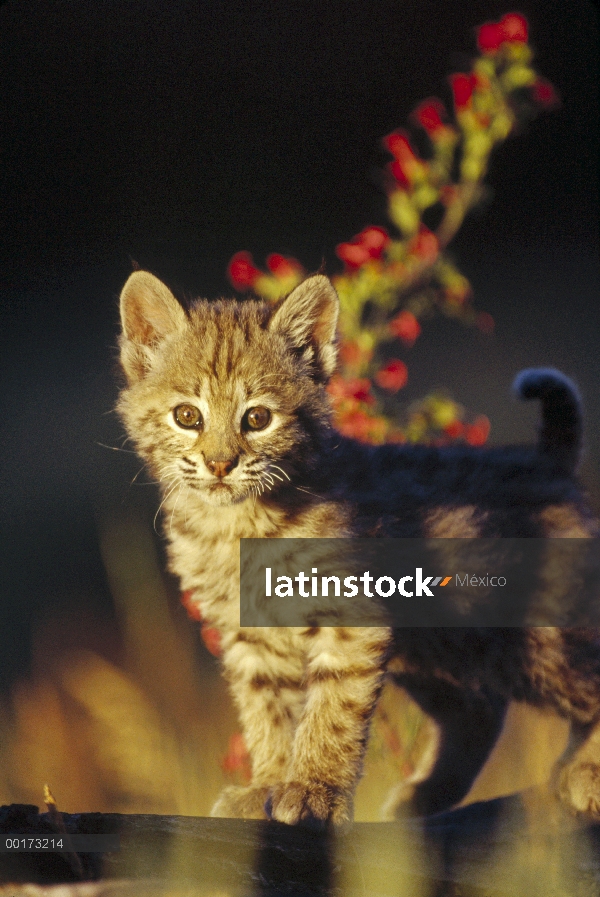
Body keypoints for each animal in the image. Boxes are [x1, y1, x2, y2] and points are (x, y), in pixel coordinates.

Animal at [117, 272, 600, 824]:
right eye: (186, 416)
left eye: (257, 418)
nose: (220, 465)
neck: (237, 519)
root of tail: (546, 461)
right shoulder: (250, 635)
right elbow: (268, 714)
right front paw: (267, 783)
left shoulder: (351, 613)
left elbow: (332, 708)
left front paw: (313, 791)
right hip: (442, 645)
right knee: (479, 711)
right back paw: (423, 797)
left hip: (539, 637)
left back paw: (585, 772)